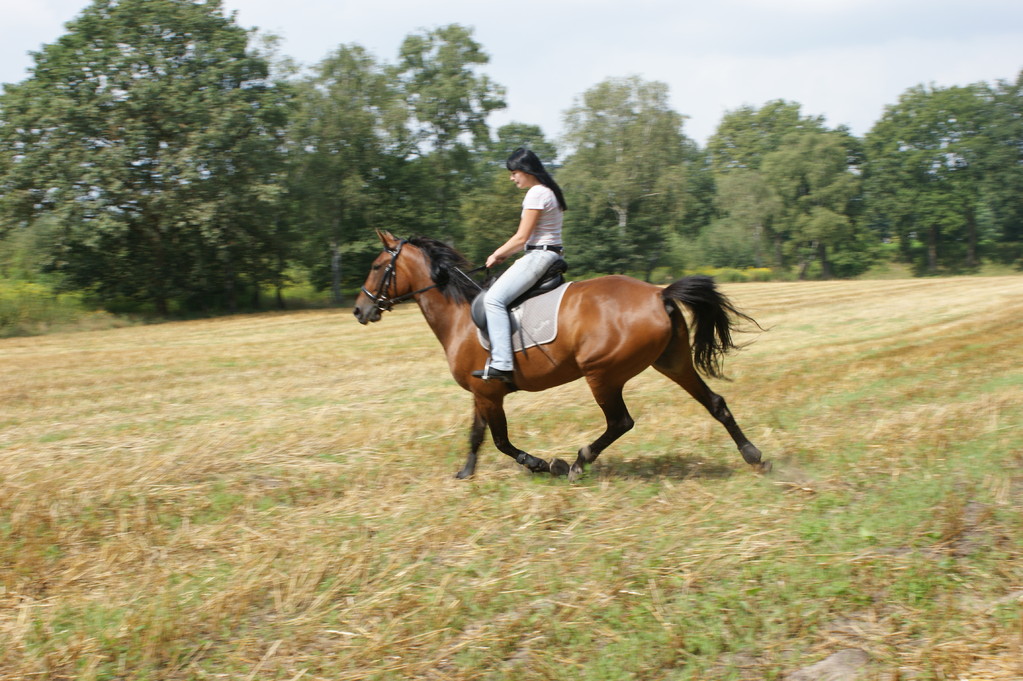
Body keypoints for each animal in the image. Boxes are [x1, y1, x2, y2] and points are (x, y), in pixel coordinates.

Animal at [356, 231, 765, 480]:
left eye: (376, 267)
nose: (360, 310)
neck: (458, 316)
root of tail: (658, 292)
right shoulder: (482, 392)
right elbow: (476, 434)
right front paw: (466, 473)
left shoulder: (489, 393)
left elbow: (501, 440)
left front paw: (538, 463)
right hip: (672, 362)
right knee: (715, 403)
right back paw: (753, 455)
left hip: (602, 375)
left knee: (620, 422)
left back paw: (576, 462)